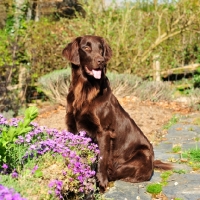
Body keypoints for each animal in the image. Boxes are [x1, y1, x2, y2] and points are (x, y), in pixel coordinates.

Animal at [62, 35, 172, 191]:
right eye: (86, 47)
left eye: (100, 48)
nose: (101, 61)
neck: (85, 91)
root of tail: (152, 162)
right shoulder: (72, 128)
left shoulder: (104, 131)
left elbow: (102, 158)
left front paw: (101, 182)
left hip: (142, 153)